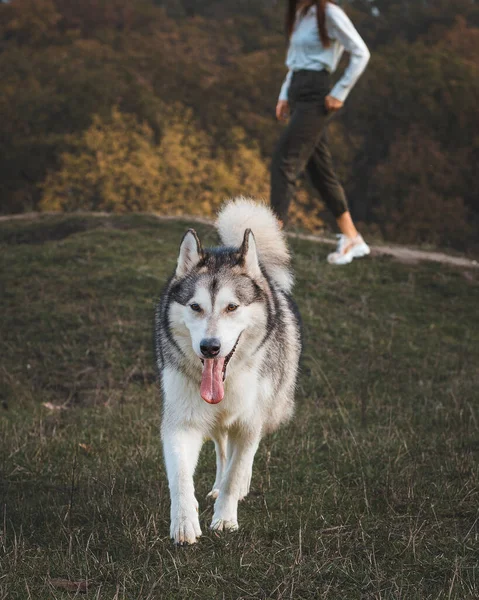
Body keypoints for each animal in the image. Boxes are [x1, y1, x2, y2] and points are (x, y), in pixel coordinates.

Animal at [156, 198, 302, 544]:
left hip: (268, 410)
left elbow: (238, 470)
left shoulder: (249, 423)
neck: (229, 378)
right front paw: (185, 523)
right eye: (195, 307)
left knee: (240, 456)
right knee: (223, 450)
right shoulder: (181, 422)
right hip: (216, 423)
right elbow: (180, 477)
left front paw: (225, 519)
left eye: (232, 307)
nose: (210, 347)